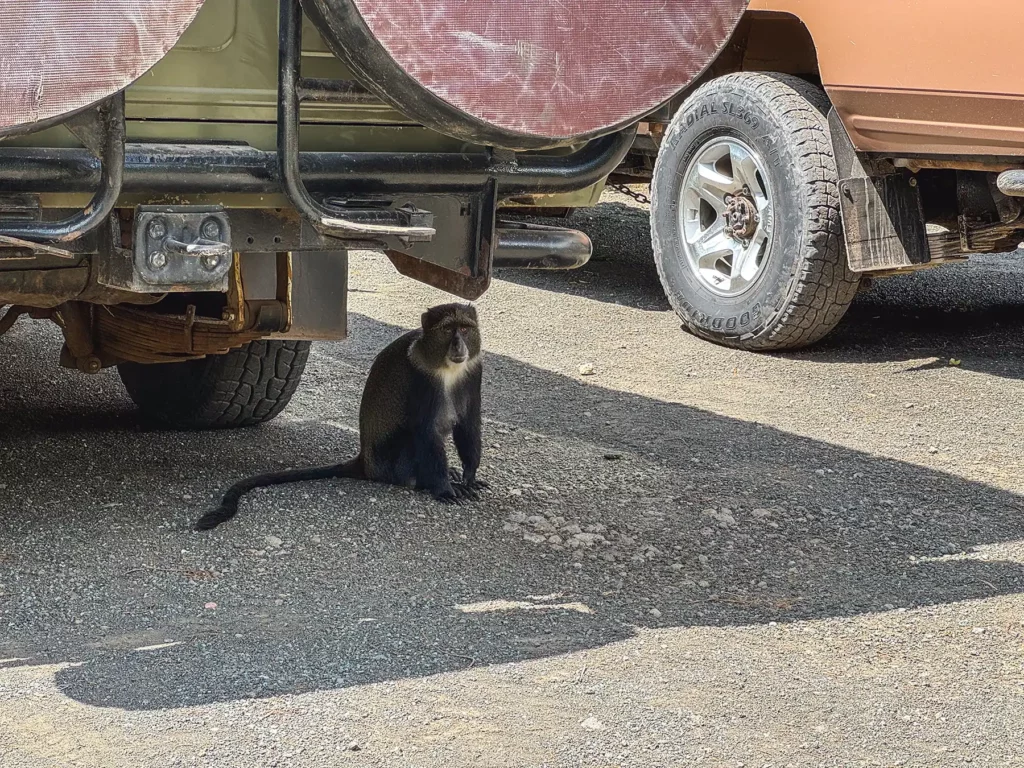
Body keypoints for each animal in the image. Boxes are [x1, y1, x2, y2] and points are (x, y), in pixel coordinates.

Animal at [193, 302, 487, 531]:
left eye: (465, 328)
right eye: (448, 330)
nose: (458, 345)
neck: (445, 368)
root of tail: (366, 463)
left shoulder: (473, 370)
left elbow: (468, 424)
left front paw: (468, 476)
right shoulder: (421, 378)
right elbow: (426, 431)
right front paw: (444, 488)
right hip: (395, 463)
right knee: (413, 441)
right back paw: (428, 481)